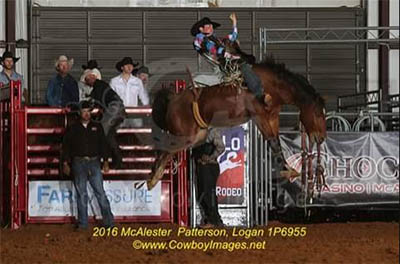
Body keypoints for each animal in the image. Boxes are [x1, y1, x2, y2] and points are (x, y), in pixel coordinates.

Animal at [145, 54, 326, 191]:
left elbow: (276, 142)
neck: (271, 85)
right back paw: (153, 178)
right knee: (165, 149)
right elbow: (273, 141)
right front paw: (288, 171)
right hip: (184, 135)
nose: (321, 138)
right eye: (318, 113)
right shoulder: (259, 115)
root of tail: (174, 98)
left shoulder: (273, 117)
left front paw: (288, 170)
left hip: (198, 134)